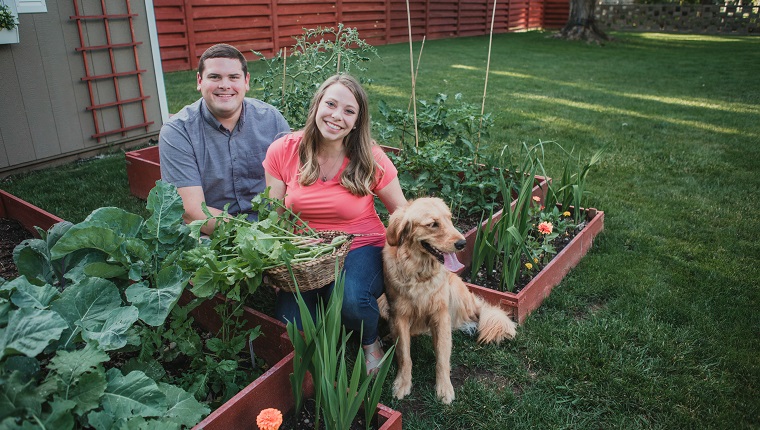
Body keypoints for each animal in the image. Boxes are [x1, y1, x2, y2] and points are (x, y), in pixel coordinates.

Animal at [380, 197, 516, 404]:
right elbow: (404, 355)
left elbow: (442, 357)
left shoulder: (441, 315)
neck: (420, 274)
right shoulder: (399, 314)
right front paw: (402, 383)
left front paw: (444, 388)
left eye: (450, 219)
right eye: (433, 224)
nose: (462, 243)